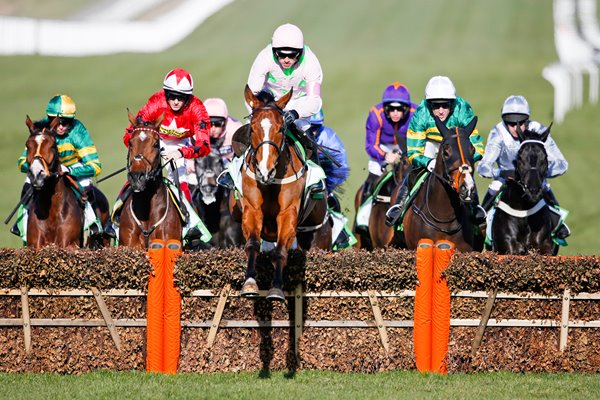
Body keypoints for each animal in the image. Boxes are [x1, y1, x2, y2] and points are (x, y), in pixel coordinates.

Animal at [231, 86, 332, 302]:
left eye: (280, 129)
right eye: (252, 129)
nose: (264, 171)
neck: (270, 182)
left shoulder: (288, 213)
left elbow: (280, 251)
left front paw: (276, 288)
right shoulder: (252, 210)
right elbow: (252, 244)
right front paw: (249, 283)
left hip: (318, 236)